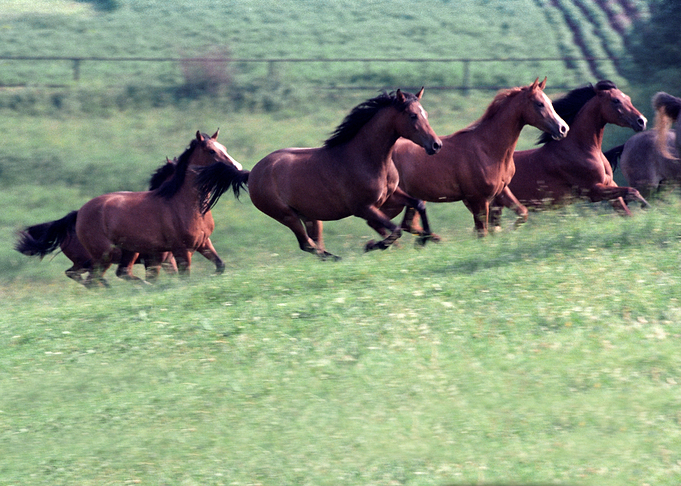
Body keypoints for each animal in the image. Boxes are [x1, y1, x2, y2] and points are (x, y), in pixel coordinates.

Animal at [196, 88, 442, 260]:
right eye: (412, 116)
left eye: (426, 113)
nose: (436, 145)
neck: (366, 157)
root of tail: (252, 173)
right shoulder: (363, 208)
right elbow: (395, 231)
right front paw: (372, 245)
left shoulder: (390, 195)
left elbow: (419, 204)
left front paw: (426, 239)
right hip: (286, 215)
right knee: (307, 244)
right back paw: (338, 259)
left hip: (310, 216)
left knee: (314, 243)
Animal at [379, 78, 569, 237]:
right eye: (539, 104)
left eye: (549, 102)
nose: (563, 128)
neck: (488, 149)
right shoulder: (478, 199)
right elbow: (482, 232)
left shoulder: (501, 191)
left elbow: (522, 213)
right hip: (391, 202)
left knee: (405, 225)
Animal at [489, 80, 649, 223]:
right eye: (616, 100)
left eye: (627, 98)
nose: (642, 121)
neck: (582, 148)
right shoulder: (594, 191)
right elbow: (632, 191)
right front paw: (646, 205)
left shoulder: (610, 185)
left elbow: (626, 210)